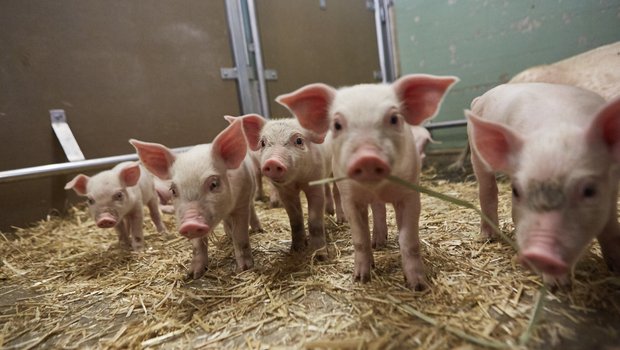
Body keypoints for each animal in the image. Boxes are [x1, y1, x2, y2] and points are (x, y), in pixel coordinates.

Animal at [278, 74, 458, 290]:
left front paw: (418, 286)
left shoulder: (410, 195)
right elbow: (360, 239)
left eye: (394, 119)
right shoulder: (350, 198)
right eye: (337, 125)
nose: (367, 157)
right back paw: (377, 244)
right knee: (378, 210)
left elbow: (409, 241)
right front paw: (361, 279)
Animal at [468, 83, 620, 286]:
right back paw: (487, 237)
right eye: (516, 191)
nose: (540, 255)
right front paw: (556, 284)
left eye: (589, 191)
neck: (558, 127)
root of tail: (481, 97)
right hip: (476, 153)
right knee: (487, 189)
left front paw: (616, 268)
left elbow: (610, 227)